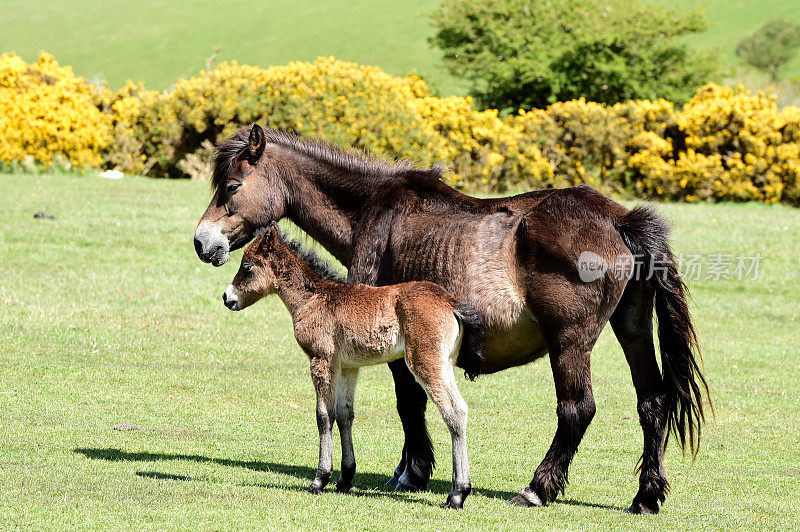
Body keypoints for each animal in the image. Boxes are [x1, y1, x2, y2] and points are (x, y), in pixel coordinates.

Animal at [222, 223, 482, 508]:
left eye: (247, 266)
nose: (226, 297)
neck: (314, 299)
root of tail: (450, 303)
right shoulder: (347, 367)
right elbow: (345, 415)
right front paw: (345, 478)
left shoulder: (322, 360)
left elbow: (324, 416)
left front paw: (320, 480)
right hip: (444, 363)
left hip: (426, 362)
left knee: (454, 411)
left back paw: (457, 494)